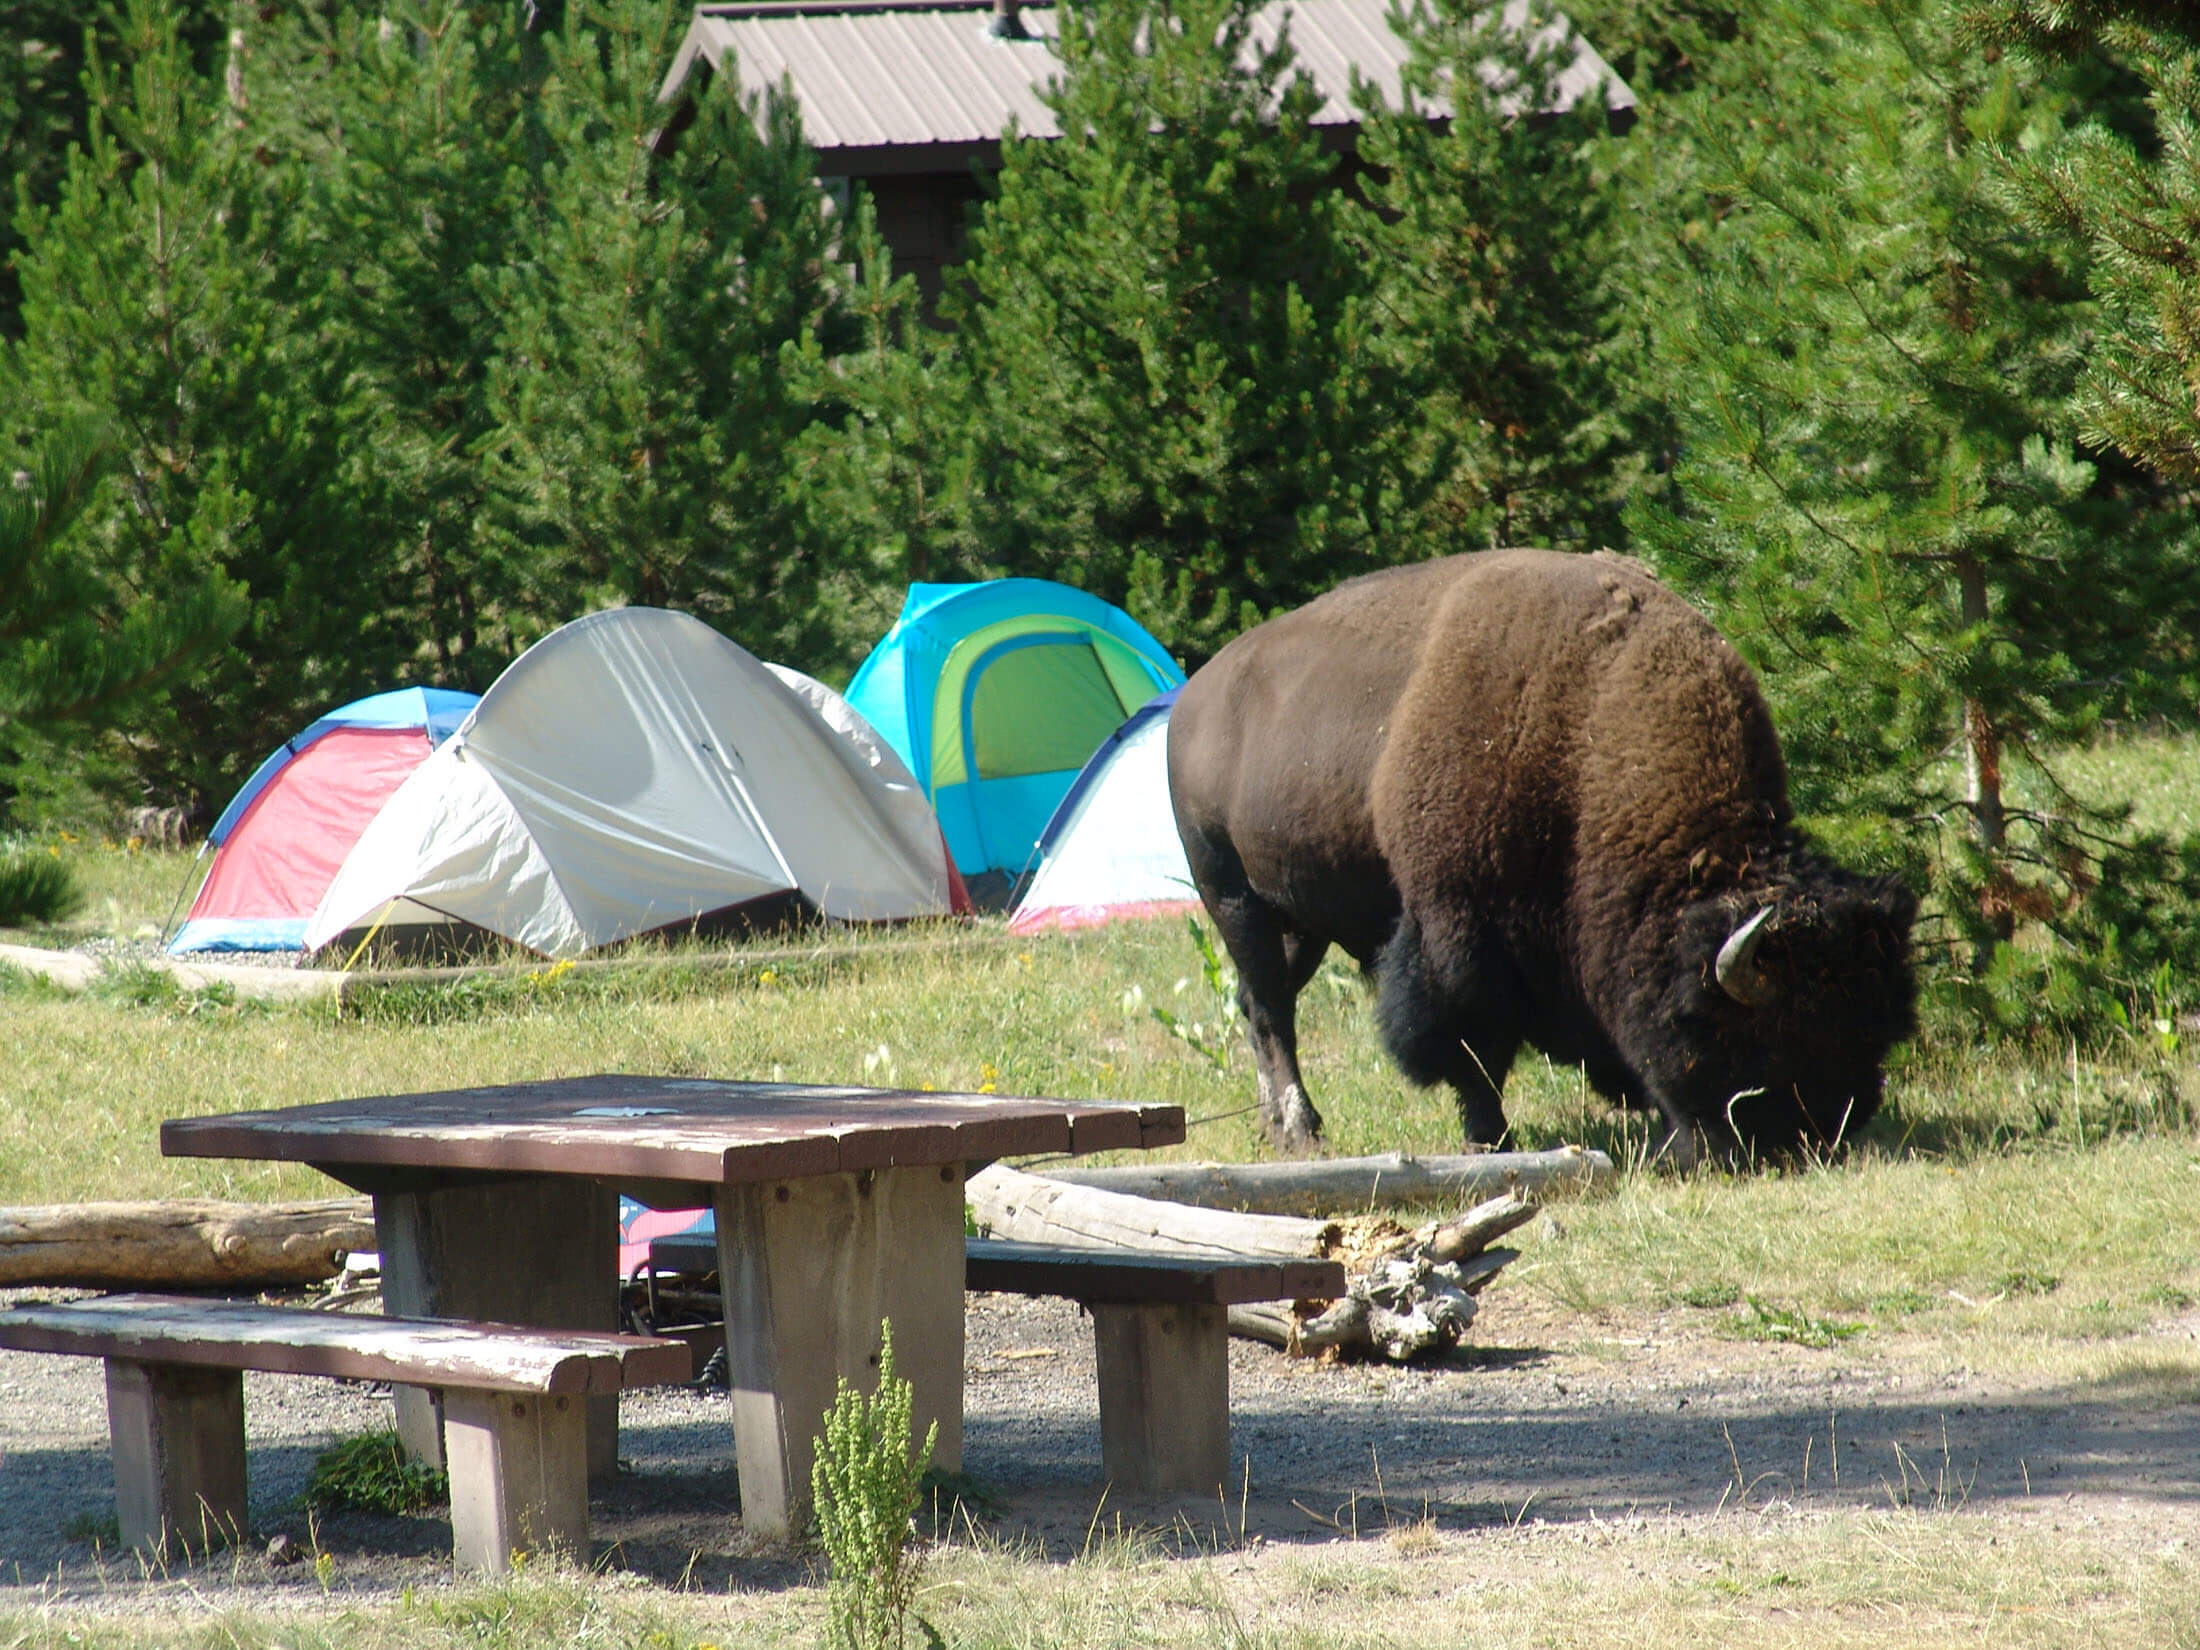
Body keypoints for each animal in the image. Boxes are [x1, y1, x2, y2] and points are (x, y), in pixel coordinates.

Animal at [1170, 552, 1909, 1161]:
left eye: (1873, 1026)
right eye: (1760, 1033)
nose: (1820, 1134)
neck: (1585, 738)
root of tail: (1193, 699)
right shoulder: (1457, 931)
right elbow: (1472, 1046)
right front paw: (1488, 1139)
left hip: (1300, 923)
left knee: (1256, 1003)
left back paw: (1276, 1127)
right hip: (1232, 898)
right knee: (1271, 1011)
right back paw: (1301, 1130)